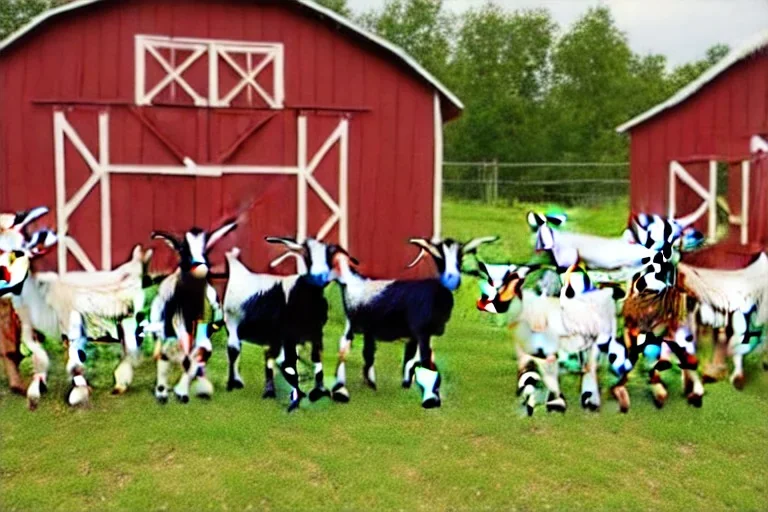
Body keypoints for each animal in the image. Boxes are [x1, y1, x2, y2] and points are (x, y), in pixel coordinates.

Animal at [148, 220, 236, 404]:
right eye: (182, 250)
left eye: (205, 251)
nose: (200, 266)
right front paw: (162, 393)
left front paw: (182, 392)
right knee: (166, 357)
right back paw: (162, 391)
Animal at [224, 237, 340, 412]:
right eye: (308, 255)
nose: (321, 277)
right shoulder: (287, 337)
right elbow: (290, 363)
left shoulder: (315, 334)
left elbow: (314, 360)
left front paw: (317, 392)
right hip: (233, 326)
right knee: (234, 352)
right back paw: (236, 384)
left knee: (268, 357)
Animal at [330, 236, 498, 408]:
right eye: (440, 259)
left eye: (460, 259)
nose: (452, 279)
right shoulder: (421, 332)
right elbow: (424, 360)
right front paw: (429, 397)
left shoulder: (416, 335)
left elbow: (410, 360)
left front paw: (407, 386)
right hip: (354, 325)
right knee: (346, 348)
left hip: (367, 329)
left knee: (367, 353)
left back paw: (370, 384)